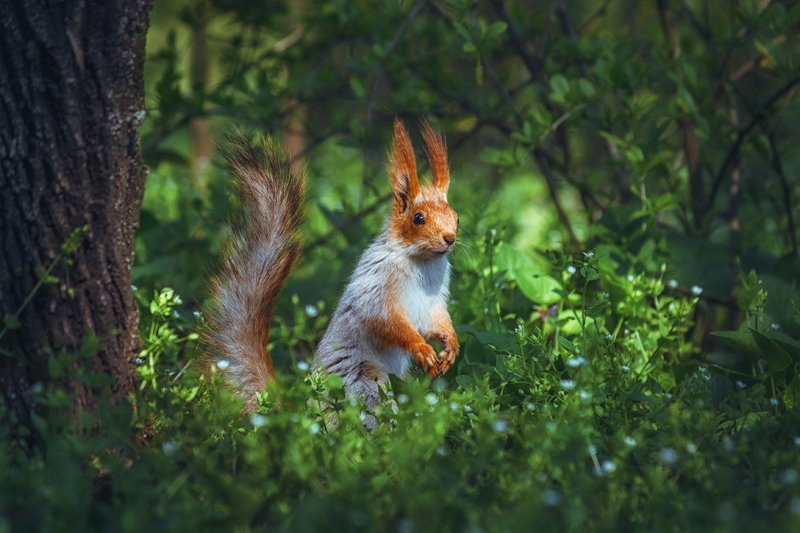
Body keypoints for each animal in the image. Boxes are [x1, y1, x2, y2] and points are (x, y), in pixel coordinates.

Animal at [206, 119, 459, 415]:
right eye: (418, 218)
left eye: (456, 217)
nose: (449, 238)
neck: (422, 262)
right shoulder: (376, 287)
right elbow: (387, 322)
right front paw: (420, 347)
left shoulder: (434, 301)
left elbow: (437, 321)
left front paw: (451, 345)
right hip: (364, 384)